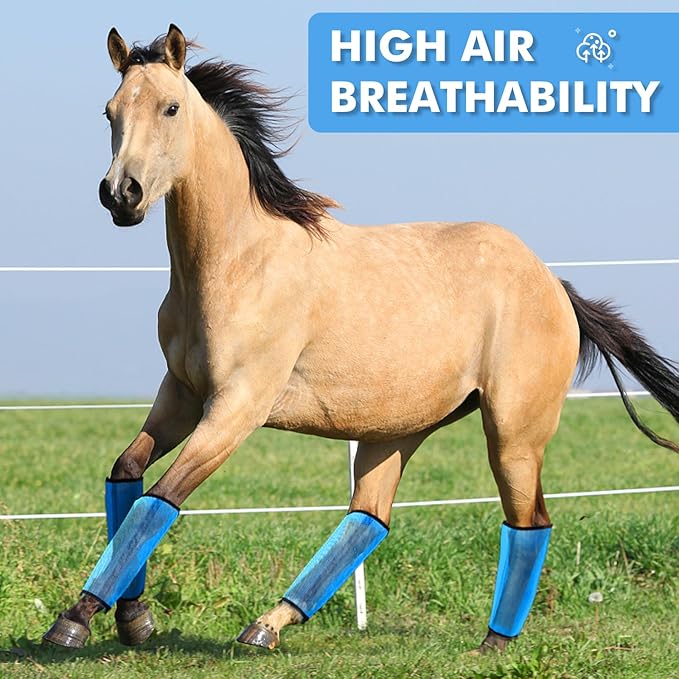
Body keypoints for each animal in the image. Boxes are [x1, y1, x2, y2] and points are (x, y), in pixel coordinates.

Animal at [43, 25, 679, 653]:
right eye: (110, 112)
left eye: (171, 107)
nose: (121, 194)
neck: (236, 263)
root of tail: (553, 284)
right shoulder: (180, 395)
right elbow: (127, 475)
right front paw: (133, 617)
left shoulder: (236, 408)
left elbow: (160, 499)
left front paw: (76, 619)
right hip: (396, 431)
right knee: (371, 518)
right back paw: (267, 626)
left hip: (513, 432)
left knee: (529, 522)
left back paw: (493, 645)